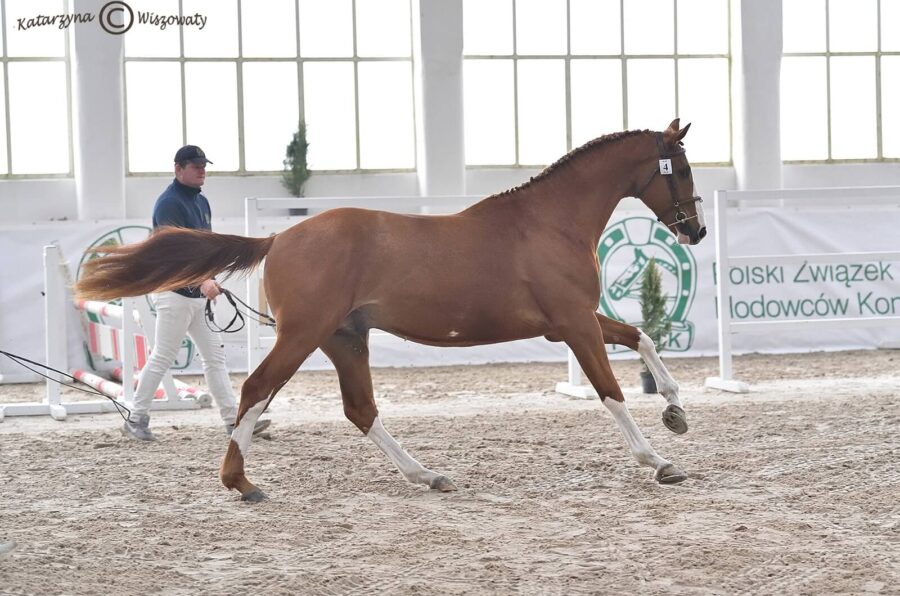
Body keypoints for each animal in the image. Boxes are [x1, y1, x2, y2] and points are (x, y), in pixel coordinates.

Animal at [77, 118, 708, 500]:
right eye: (680, 165)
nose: (696, 230)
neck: (549, 222)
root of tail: (279, 240)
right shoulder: (575, 324)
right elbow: (611, 392)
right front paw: (658, 460)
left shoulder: (573, 321)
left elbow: (642, 338)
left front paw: (676, 411)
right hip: (302, 336)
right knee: (257, 390)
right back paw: (241, 482)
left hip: (343, 339)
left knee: (360, 410)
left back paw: (426, 474)